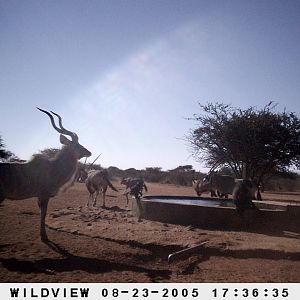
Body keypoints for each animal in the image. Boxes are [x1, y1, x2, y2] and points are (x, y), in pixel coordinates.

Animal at [0, 108, 91, 241]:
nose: (89, 152)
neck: (53, 168)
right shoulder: (44, 195)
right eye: (77, 145)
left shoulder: (40, 197)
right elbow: (43, 213)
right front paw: (44, 236)